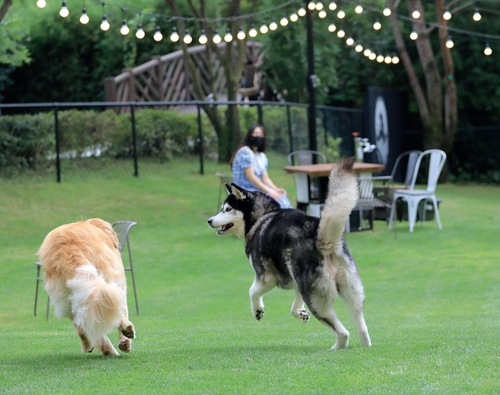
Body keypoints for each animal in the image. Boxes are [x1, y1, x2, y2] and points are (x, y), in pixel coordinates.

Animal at [37, 220, 135, 356]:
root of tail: (68, 247)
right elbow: (123, 310)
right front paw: (125, 341)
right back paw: (124, 332)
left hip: (67, 296)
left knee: (84, 322)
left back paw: (101, 348)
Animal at [207, 158, 372, 350]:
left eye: (227, 209)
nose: (209, 220)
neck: (262, 216)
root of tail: (323, 241)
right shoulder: (296, 281)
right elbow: (294, 307)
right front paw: (301, 314)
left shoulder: (266, 278)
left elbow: (252, 292)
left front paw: (258, 311)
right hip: (350, 292)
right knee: (362, 325)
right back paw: (364, 345)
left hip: (315, 299)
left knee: (343, 332)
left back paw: (336, 347)